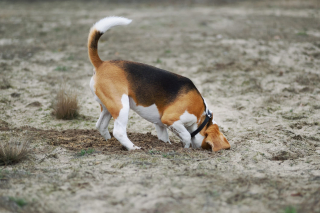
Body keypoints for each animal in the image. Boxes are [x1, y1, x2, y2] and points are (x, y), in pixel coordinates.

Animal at [87, 17, 230, 152]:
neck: (202, 116)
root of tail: (101, 63)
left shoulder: (160, 125)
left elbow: (165, 138)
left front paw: (166, 145)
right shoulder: (170, 119)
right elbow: (187, 136)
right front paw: (186, 147)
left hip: (107, 107)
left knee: (100, 125)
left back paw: (109, 141)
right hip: (121, 106)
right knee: (119, 132)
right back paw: (133, 148)